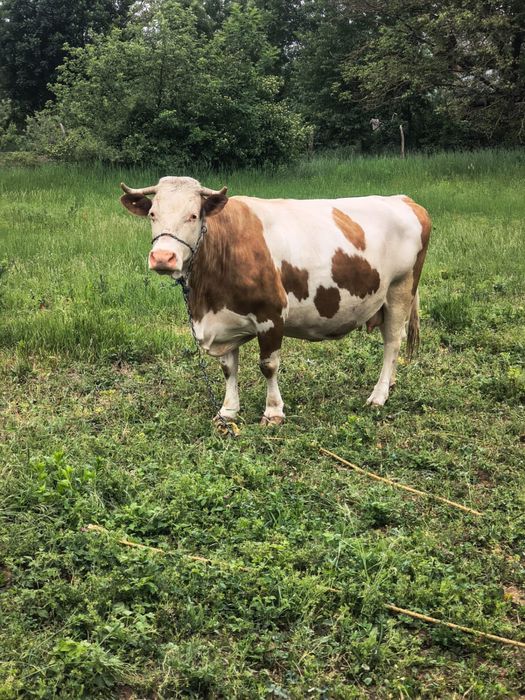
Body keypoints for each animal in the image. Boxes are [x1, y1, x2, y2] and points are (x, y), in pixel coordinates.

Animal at [120, 177, 431, 426]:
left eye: (193, 215)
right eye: (152, 214)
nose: (163, 258)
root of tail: (404, 200)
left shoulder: (271, 313)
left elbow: (268, 365)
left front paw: (273, 412)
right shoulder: (223, 322)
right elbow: (228, 368)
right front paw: (228, 411)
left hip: (400, 288)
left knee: (392, 342)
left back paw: (378, 395)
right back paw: (390, 384)